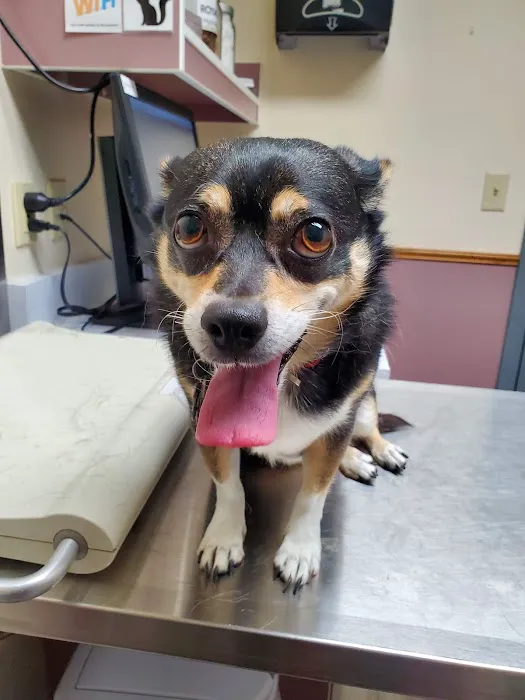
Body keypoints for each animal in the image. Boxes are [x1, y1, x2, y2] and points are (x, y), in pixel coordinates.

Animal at [152, 137, 408, 591]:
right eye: (189, 227)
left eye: (314, 234)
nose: (232, 325)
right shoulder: (207, 425)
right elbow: (228, 485)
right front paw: (223, 538)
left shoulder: (340, 422)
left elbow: (313, 494)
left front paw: (300, 550)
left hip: (363, 404)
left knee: (367, 428)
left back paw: (374, 453)